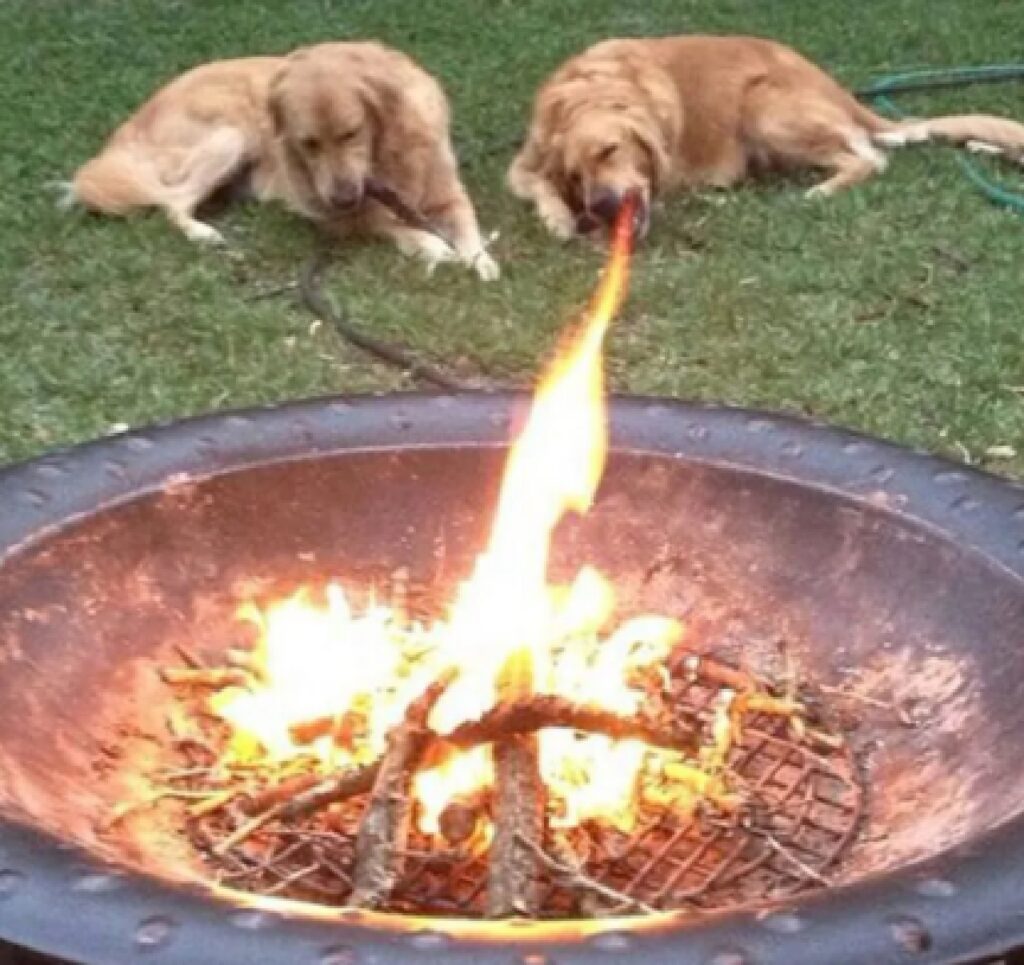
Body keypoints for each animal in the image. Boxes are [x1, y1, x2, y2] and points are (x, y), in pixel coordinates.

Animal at [66, 43, 497, 280]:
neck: (385, 159)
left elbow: (467, 225)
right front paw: (431, 244)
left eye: (351, 133)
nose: (343, 197)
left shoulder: (448, 192)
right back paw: (204, 233)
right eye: (309, 144)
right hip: (231, 136)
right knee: (172, 203)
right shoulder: (335, 216)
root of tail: (131, 127)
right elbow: (389, 224)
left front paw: (481, 260)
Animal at [509, 34, 1024, 239]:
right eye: (575, 177)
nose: (600, 207)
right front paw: (557, 215)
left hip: (764, 109)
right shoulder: (522, 163)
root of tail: (834, 86)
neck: (589, 91)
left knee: (868, 157)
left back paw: (819, 191)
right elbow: (534, 182)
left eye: (611, 150)